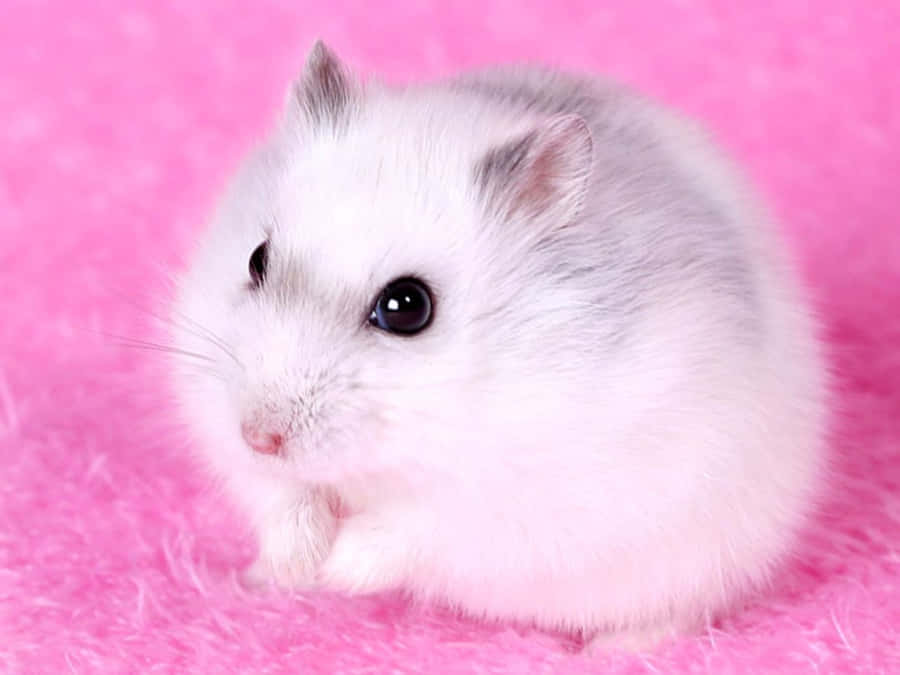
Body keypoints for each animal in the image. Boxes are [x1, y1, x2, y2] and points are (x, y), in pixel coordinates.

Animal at [170, 41, 828, 651]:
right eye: (256, 260)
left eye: (407, 307)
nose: (259, 436)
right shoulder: (223, 425)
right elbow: (282, 497)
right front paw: (297, 566)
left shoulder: (512, 502)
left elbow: (410, 529)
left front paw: (335, 570)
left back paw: (615, 647)